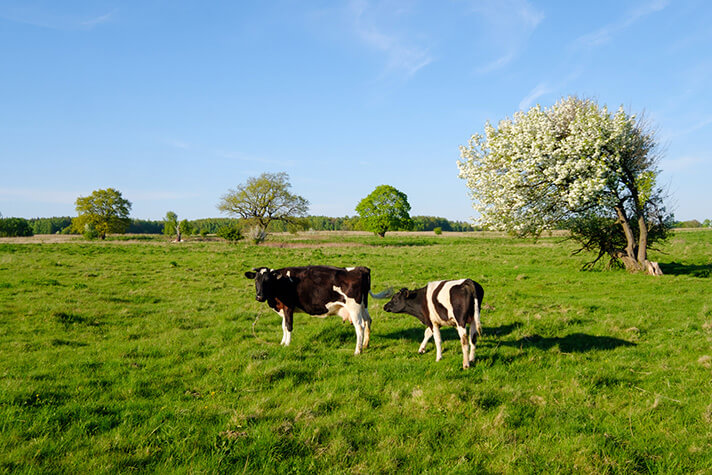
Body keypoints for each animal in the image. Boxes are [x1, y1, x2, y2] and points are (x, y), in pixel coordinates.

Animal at [245, 266, 390, 356]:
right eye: (256, 280)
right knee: (367, 321)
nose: (259, 297)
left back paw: (357, 351)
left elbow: (288, 326)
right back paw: (365, 345)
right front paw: (282, 343)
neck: (281, 283)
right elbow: (283, 327)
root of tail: (361, 268)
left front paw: (287, 344)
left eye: (268, 280)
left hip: (354, 307)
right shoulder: (283, 309)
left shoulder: (288, 307)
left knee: (359, 326)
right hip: (363, 306)